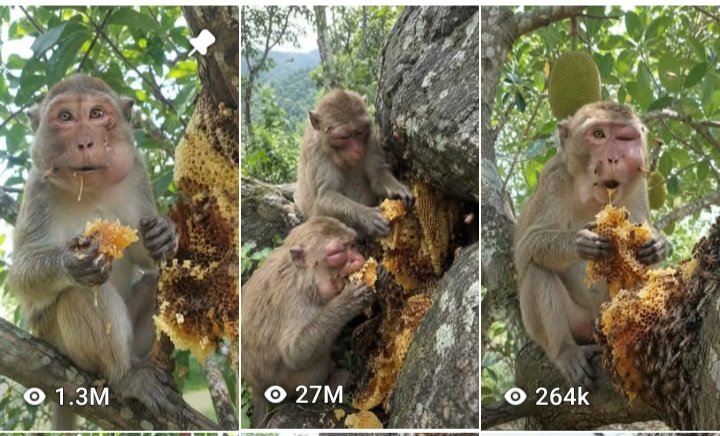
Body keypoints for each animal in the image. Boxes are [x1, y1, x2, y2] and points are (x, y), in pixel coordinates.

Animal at [8, 74, 178, 429]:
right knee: (81, 292)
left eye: (97, 113)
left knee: (153, 283)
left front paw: (163, 235)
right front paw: (70, 263)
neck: (91, 188)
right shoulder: (38, 188)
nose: (85, 142)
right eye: (66, 117)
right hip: (54, 339)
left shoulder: (137, 169)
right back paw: (124, 376)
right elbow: (22, 275)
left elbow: (140, 252)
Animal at [241, 216, 382, 426]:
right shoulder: (294, 299)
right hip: (287, 384)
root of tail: (257, 388)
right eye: (338, 253)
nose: (358, 258)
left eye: (353, 244)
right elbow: (294, 352)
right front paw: (347, 302)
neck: (305, 276)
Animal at [295, 89, 413, 238]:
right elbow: (325, 195)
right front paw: (367, 216)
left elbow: (377, 175)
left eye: (359, 132)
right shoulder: (314, 151)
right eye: (343, 137)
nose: (357, 149)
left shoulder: (370, 139)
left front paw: (397, 188)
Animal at [513, 101, 667, 388]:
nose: (613, 159)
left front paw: (658, 244)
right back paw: (565, 351)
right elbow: (526, 247)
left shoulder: (639, 185)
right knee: (537, 268)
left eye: (625, 138)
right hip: (574, 323)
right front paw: (581, 242)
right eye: (598, 135)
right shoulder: (554, 178)